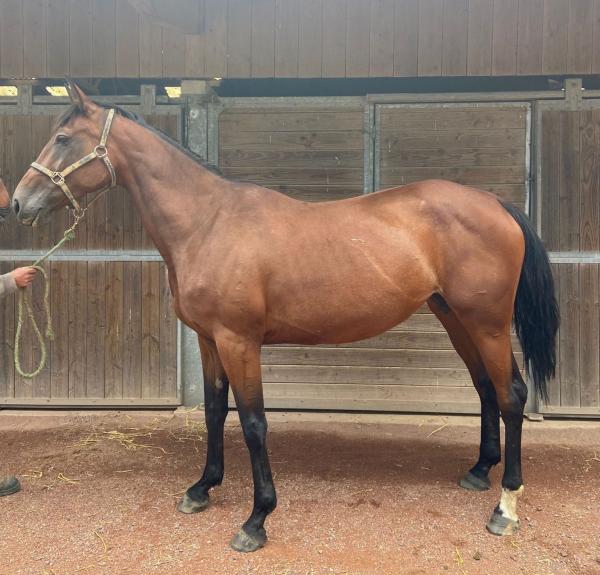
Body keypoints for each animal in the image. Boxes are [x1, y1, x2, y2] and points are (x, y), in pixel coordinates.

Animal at [11, 82, 560, 552]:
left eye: (62, 138)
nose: (17, 202)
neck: (208, 223)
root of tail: (495, 203)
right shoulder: (209, 341)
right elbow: (214, 411)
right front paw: (202, 488)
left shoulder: (239, 341)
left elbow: (254, 423)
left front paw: (257, 519)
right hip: (455, 319)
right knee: (486, 389)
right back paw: (479, 471)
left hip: (487, 323)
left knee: (511, 395)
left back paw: (505, 506)